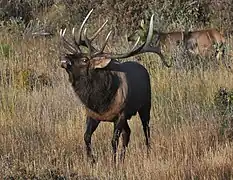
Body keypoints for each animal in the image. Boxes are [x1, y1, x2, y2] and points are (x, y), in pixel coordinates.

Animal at [59, 8, 163, 163]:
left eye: (85, 59)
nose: (64, 57)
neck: (99, 101)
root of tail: (143, 68)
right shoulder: (92, 115)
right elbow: (86, 136)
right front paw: (92, 160)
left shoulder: (120, 115)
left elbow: (113, 141)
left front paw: (113, 162)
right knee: (128, 133)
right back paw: (122, 158)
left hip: (145, 105)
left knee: (146, 129)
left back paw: (147, 152)